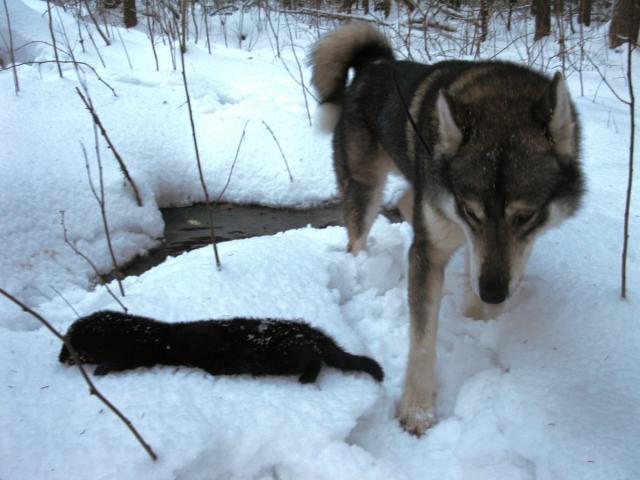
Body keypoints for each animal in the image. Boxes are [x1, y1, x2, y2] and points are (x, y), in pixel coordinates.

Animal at [310, 24, 584, 435]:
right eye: (471, 211)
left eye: (525, 216)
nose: (493, 293)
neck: (502, 96)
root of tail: (374, 67)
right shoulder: (432, 249)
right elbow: (422, 341)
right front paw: (417, 411)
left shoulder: (497, 251)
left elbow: (484, 273)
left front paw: (479, 317)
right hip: (365, 189)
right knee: (359, 236)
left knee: (406, 200)